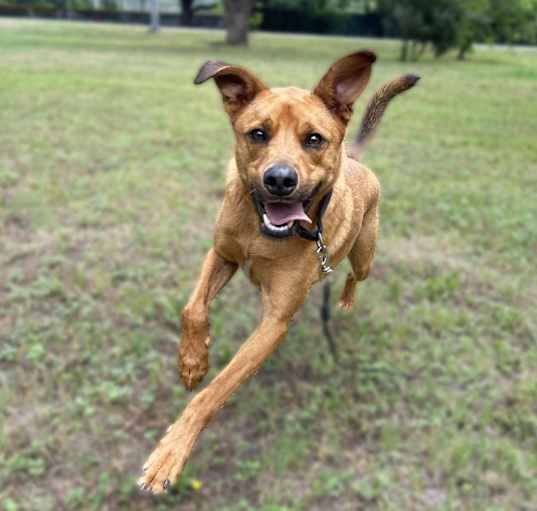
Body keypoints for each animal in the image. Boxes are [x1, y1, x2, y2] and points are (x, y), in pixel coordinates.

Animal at [136, 50, 416, 494]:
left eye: (314, 139)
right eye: (258, 134)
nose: (280, 180)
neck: (262, 230)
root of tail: (355, 161)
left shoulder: (275, 322)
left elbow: (214, 392)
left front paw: (171, 452)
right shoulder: (222, 255)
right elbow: (192, 310)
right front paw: (192, 361)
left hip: (365, 253)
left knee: (355, 275)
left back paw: (344, 299)